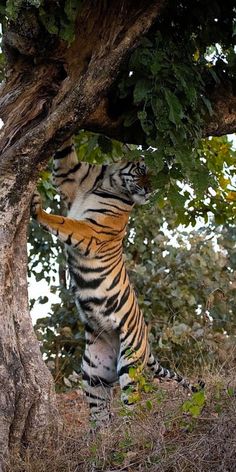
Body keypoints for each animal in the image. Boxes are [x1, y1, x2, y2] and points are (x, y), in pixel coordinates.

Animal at [31, 140, 204, 428]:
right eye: (143, 170)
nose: (149, 190)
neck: (108, 182)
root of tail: (147, 343)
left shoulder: (93, 232)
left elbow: (63, 221)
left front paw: (36, 205)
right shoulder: (68, 173)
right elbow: (64, 152)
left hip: (129, 362)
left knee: (133, 406)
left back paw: (131, 431)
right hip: (93, 371)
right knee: (101, 413)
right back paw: (99, 438)